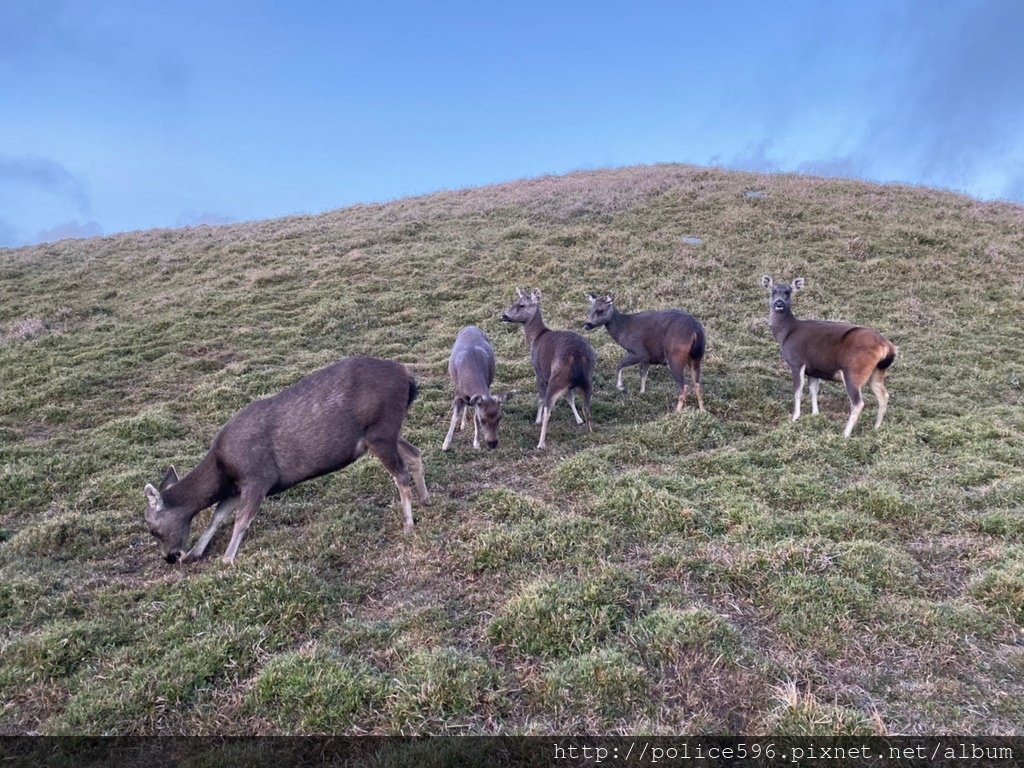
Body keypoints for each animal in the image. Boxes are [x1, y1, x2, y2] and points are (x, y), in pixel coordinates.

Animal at [142, 356, 430, 565]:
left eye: (152, 529)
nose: (170, 557)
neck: (222, 467)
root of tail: (407, 376)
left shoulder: (258, 477)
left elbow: (240, 520)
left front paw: (227, 559)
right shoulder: (236, 487)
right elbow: (217, 516)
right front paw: (197, 552)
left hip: (380, 430)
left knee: (400, 474)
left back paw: (408, 524)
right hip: (386, 431)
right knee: (415, 453)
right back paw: (425, 499)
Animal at [499, 288, 598, 450]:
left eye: (521, 305)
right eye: (514, 302)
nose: (503, 316)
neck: (535, 337)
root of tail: (576, 355)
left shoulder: (538, 372)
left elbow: (540, 398)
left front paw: (536, 420)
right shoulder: (569, 385)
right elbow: (570, 398)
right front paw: (578, 420)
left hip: (556, 378)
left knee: (548, 409)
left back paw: (541, 443)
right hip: (588, 379)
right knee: (586, 407)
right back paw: (589, 431)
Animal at [761, 274, 897, 438]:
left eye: (788, 291)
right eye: (773, 291)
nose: (779, 303)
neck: (786, 333)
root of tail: (887, 346)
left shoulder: (796, 362)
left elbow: (798, 391)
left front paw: (795, 417)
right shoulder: (813, 369)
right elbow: (813, 390)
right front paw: (815, 414)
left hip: (853, 371)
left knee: (858, 403)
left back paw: (845, 434)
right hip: (877, 372)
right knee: (883, 395)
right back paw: (876, 428)